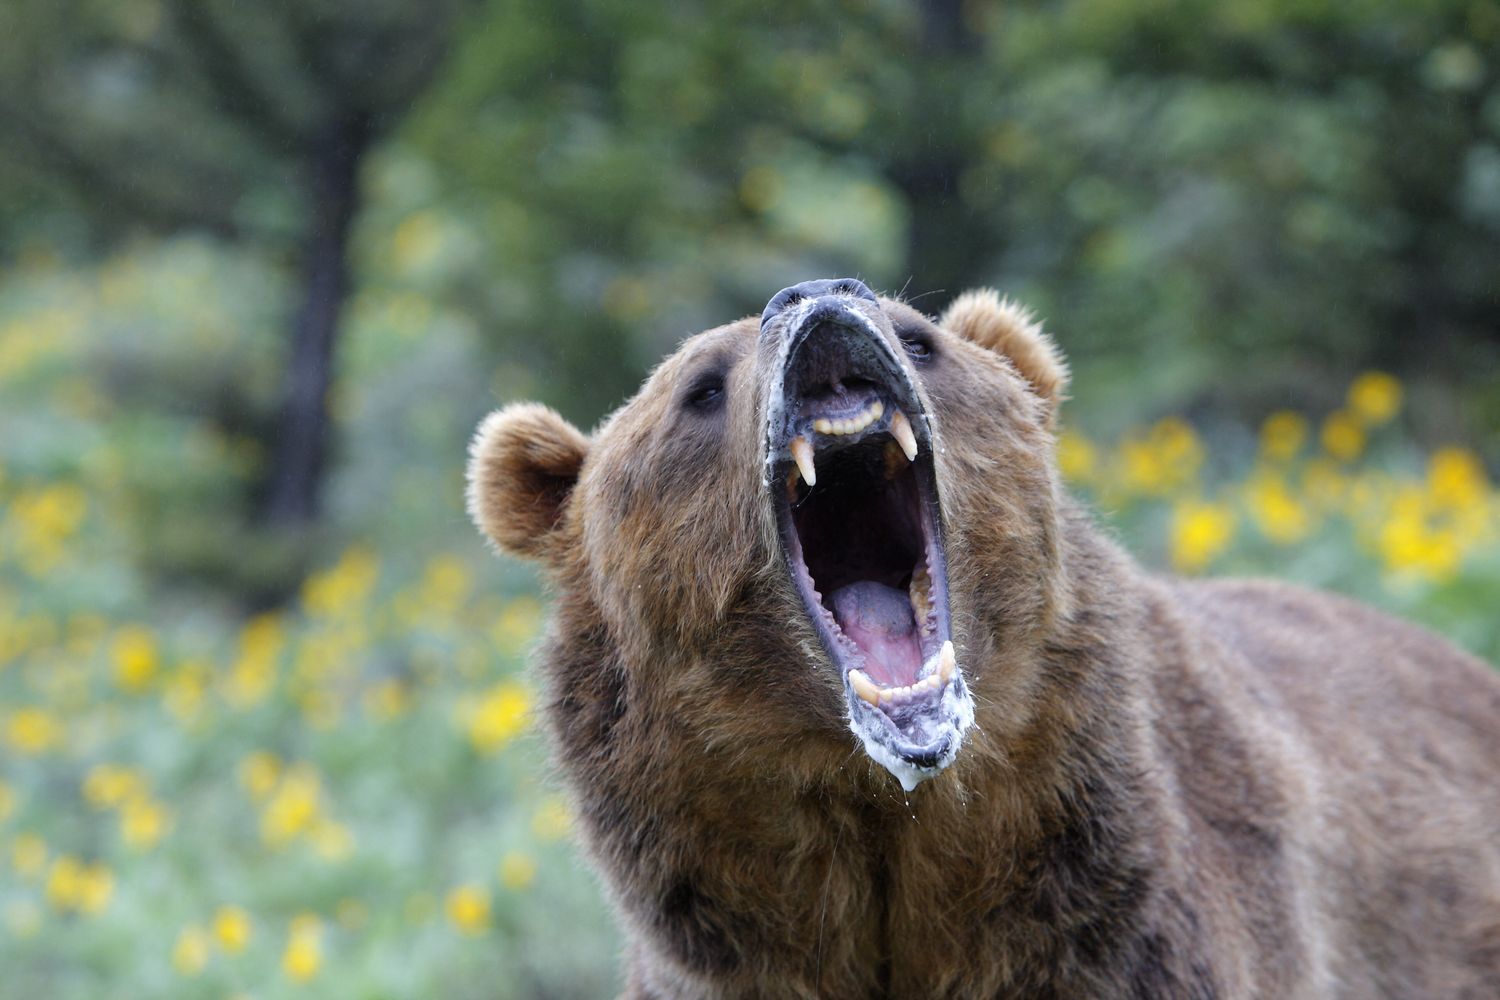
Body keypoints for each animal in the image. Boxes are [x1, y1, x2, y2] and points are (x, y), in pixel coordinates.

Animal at [466, 278, 1500, 999]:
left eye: (919, 337)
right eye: (701, 389)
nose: (817, 296)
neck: (889, 820)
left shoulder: (1107, 926)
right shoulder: (737, 955)